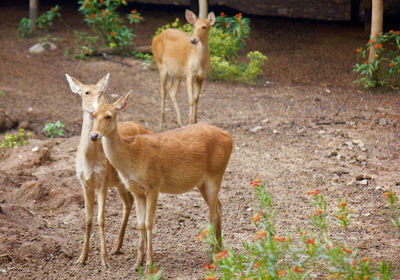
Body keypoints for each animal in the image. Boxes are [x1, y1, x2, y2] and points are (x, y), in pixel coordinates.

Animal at [65, 74, 150, 266]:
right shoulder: (84, 183)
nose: (99, 104)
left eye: (102, 92)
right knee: (128, 203)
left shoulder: (102, 181)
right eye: (86, 92)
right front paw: (82, 258)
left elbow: (101, 219)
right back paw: (117, 247)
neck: (89, 161)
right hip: (120, 183)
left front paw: (104, 260)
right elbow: (88, 219)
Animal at [87, 90, 231, 270]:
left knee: (213, 212)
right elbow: (140, 224)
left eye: (109, 116)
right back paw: (219, 249)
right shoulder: (136, 190)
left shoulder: (153, 184)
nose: (93, 135)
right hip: (202, 182)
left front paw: (149, 263)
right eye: (93, 115)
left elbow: (149, 222)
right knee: (219, 205)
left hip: (215, 174)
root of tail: (230, 138)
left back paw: (212, 254)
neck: (132, 158)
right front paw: (137, 263)